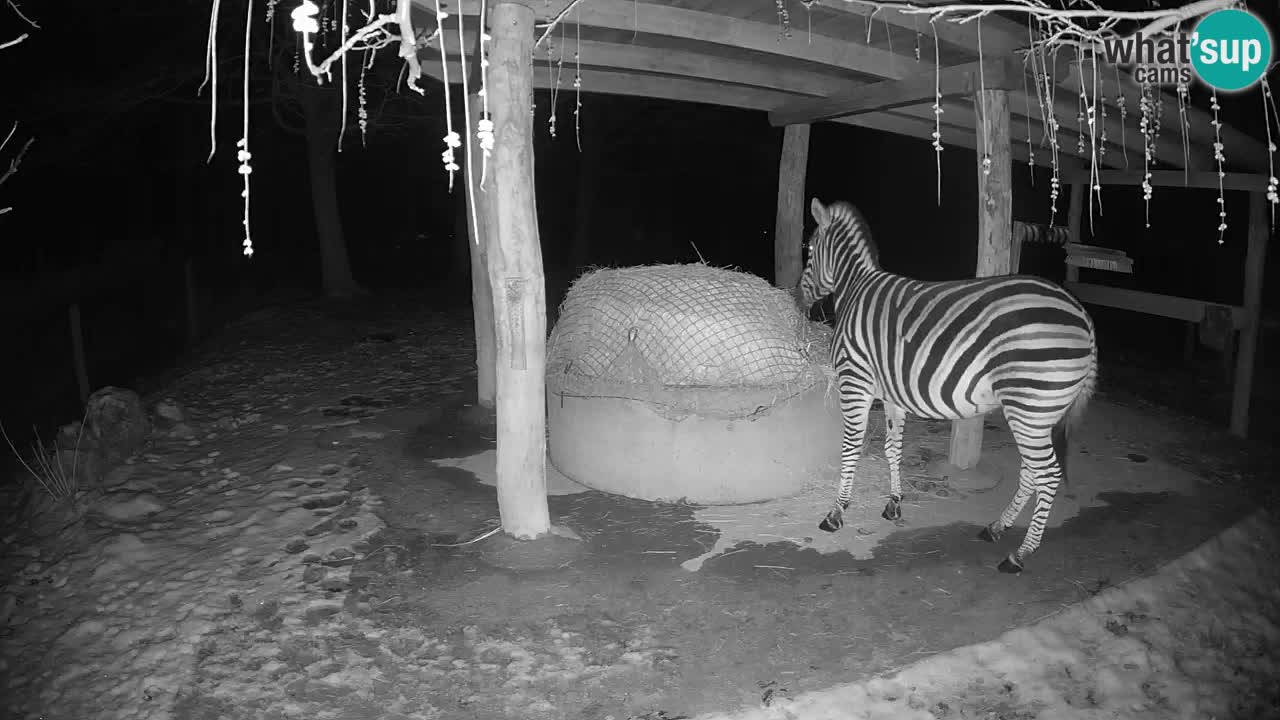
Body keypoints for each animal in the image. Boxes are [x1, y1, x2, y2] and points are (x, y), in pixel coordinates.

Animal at [793, 197, 1095, 571]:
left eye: (808, 249)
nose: (795, 299)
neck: (854, 288)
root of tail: (1081, 313)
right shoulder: (891, 394)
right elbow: (893, 447)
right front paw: (894, 504)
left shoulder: (855, 383)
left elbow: (850, 448)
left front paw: (836, 513)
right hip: (1038, 413)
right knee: (1031, 472)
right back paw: (997, 527)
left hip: (1030, 407)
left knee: (1048, 474)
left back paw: (1020, 554)